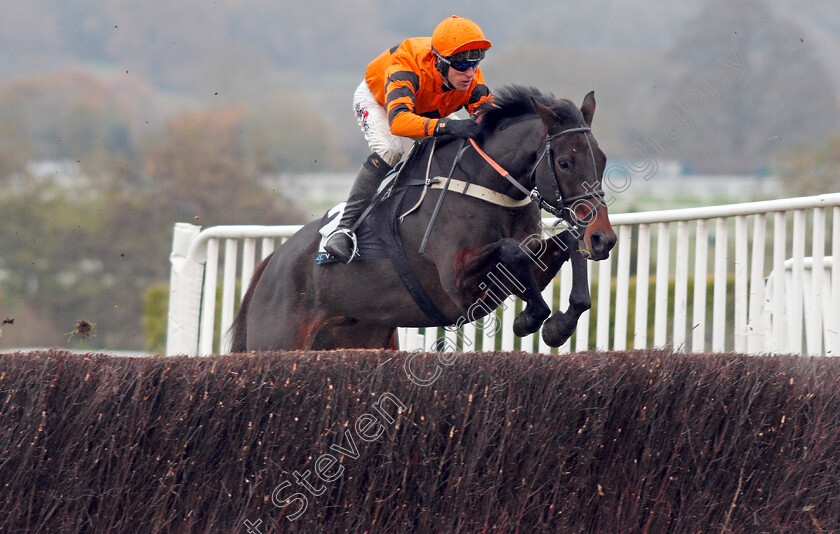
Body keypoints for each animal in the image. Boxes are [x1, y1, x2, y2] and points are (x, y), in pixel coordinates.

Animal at [230, 86, 616, 354]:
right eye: (565, 162)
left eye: (602, 159)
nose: (603, 238)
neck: (484, 183)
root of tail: (272, 263)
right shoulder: (457, 286)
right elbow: (513, 249)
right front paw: (531, 318)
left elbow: (564, 244)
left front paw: (559, 325)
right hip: (277, 341)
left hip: (361, 338)